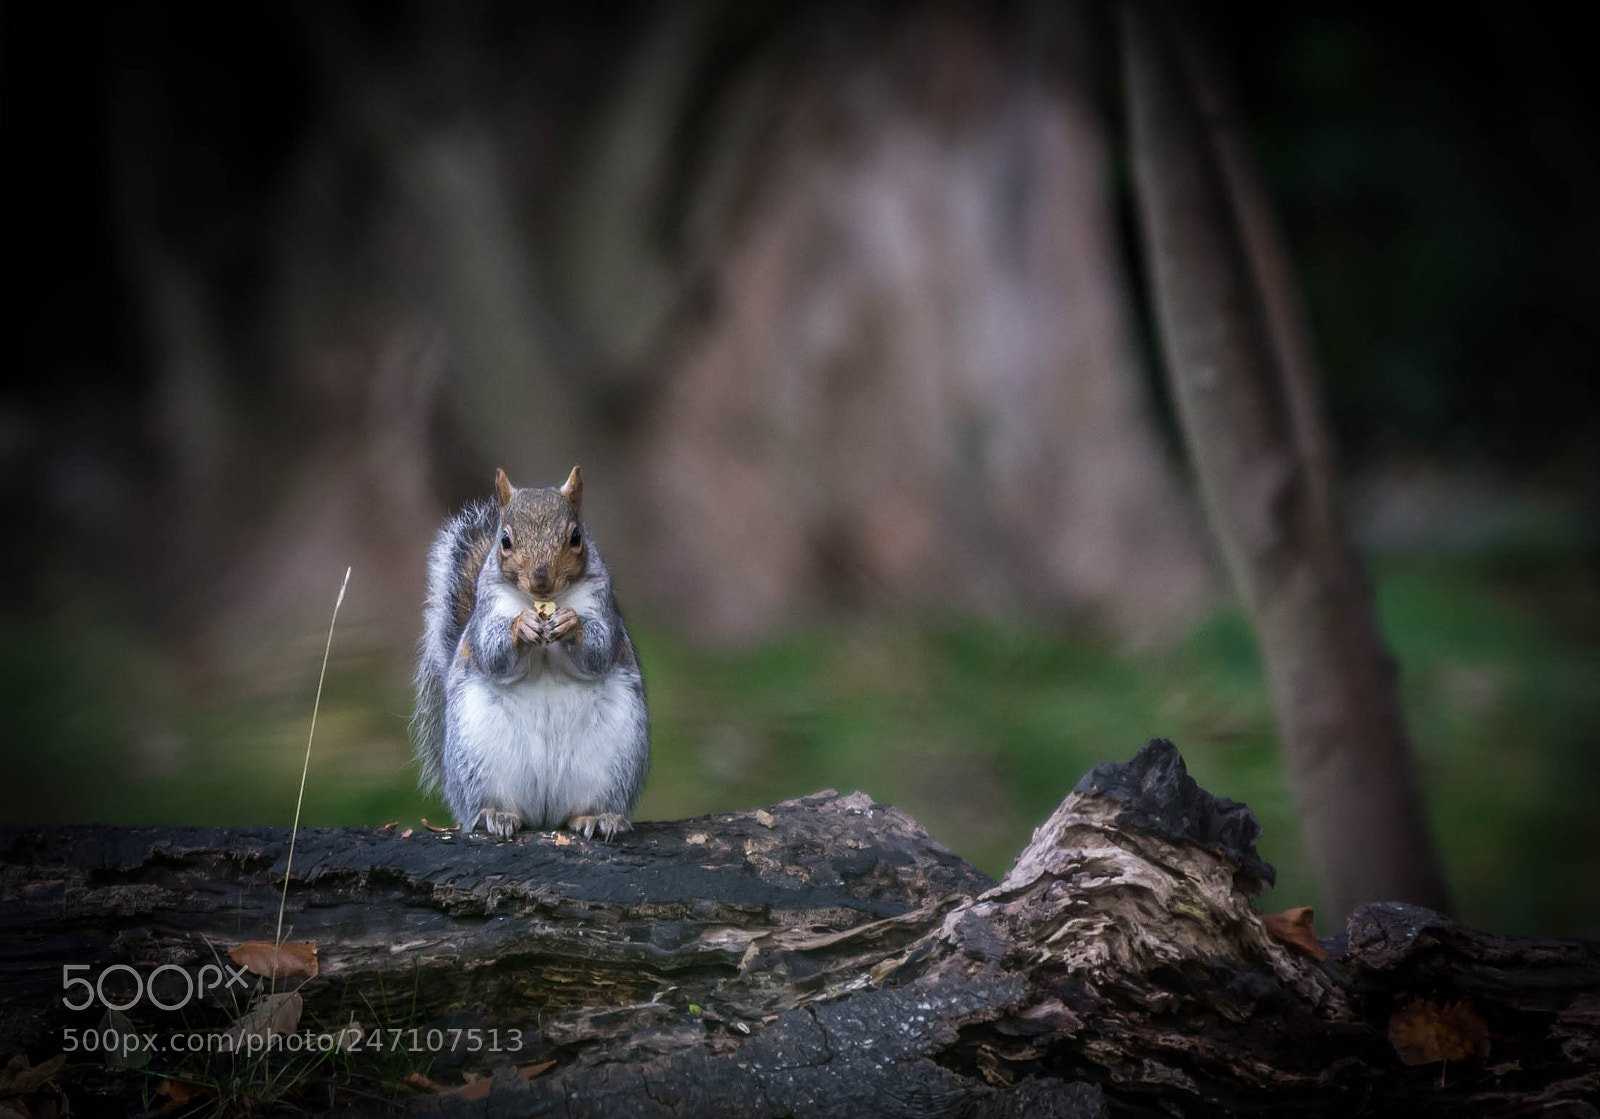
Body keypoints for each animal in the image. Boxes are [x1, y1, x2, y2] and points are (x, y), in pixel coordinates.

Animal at [412, 465, 649, 841]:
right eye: (505, 540)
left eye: (576, 536)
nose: (541, 580)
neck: (543, 602)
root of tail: (545, 814)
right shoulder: (487, 610)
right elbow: (492, 653)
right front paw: (520, 627)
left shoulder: (602, 604)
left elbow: (599, 650)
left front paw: (571, 623)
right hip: (476, 760)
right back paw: (495, 815)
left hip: (616, 761)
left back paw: (598, 818)